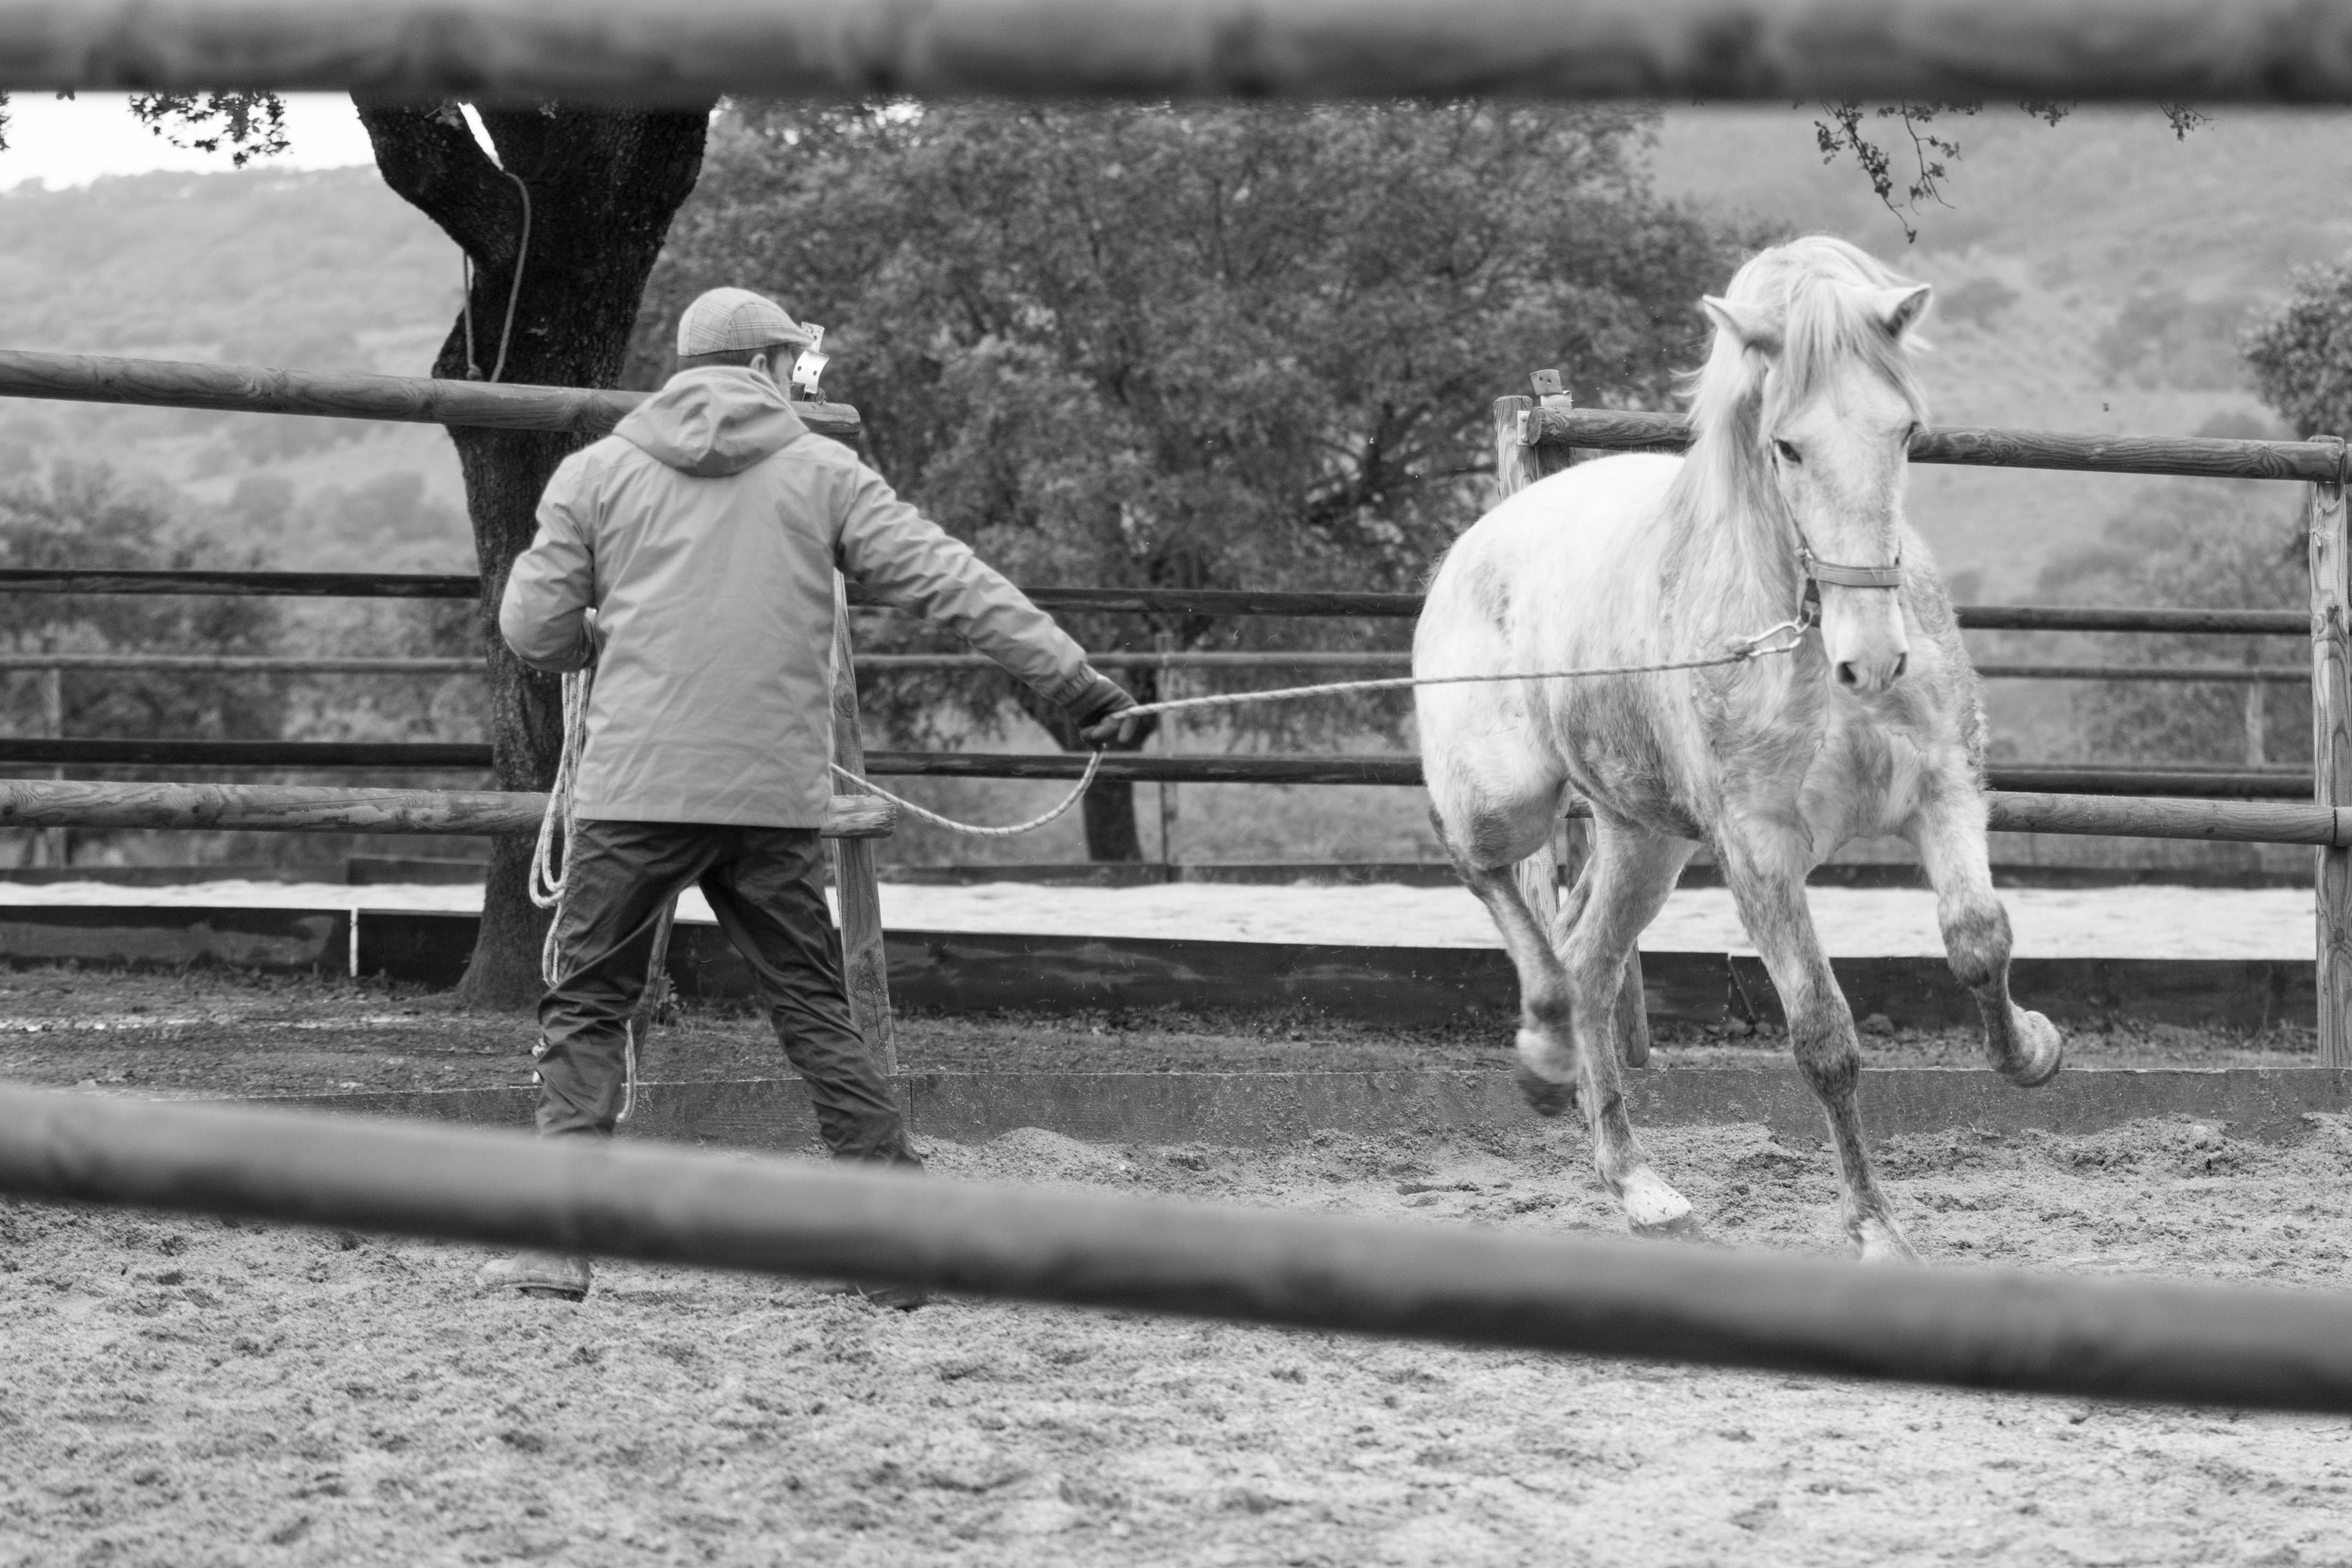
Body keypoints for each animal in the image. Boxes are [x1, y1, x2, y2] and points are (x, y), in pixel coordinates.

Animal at [1411, 236, 2060, 1260]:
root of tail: (1481, 537)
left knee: (1591, 958)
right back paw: (1544, 1053)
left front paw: (2031, 1048)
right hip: (1508, 798)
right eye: (1786, 445)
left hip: (1645, 837)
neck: (1803, 643)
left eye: (1907, 432)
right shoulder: (1760, 854)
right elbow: (1824, 1038)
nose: (1875, 661)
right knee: (1486, 875)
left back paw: (1638, 1185)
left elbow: (1978, 940)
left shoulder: (1944, 793)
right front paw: (1877, 1231)